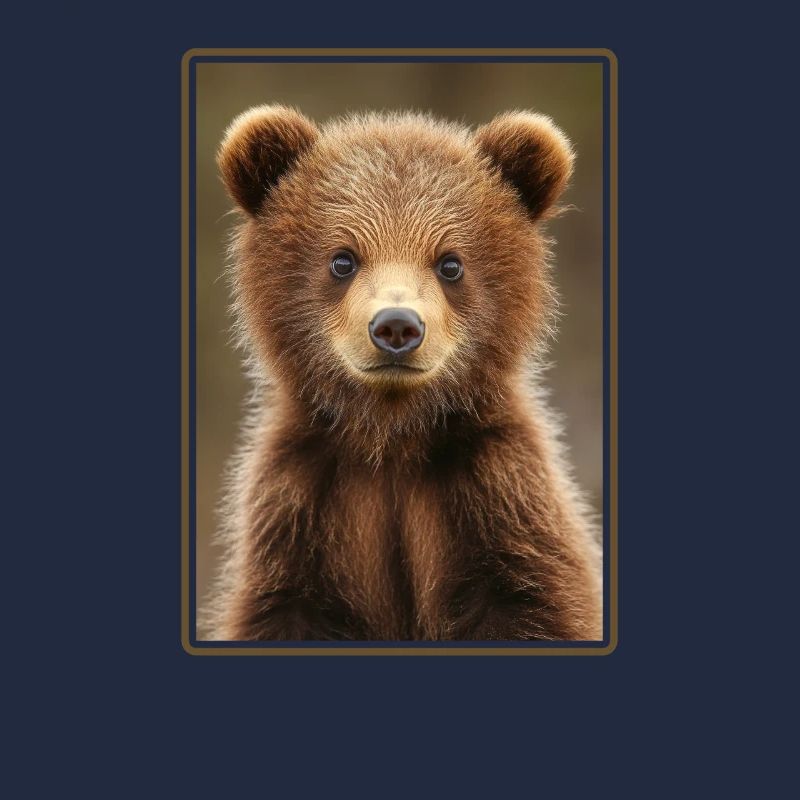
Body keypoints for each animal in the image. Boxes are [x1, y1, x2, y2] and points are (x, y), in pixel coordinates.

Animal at [205, 105, 602, 641]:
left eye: (450, 263)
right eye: (343, 259)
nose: (396, 326)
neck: (391, 437)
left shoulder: (500, 496)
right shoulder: (298, 509)